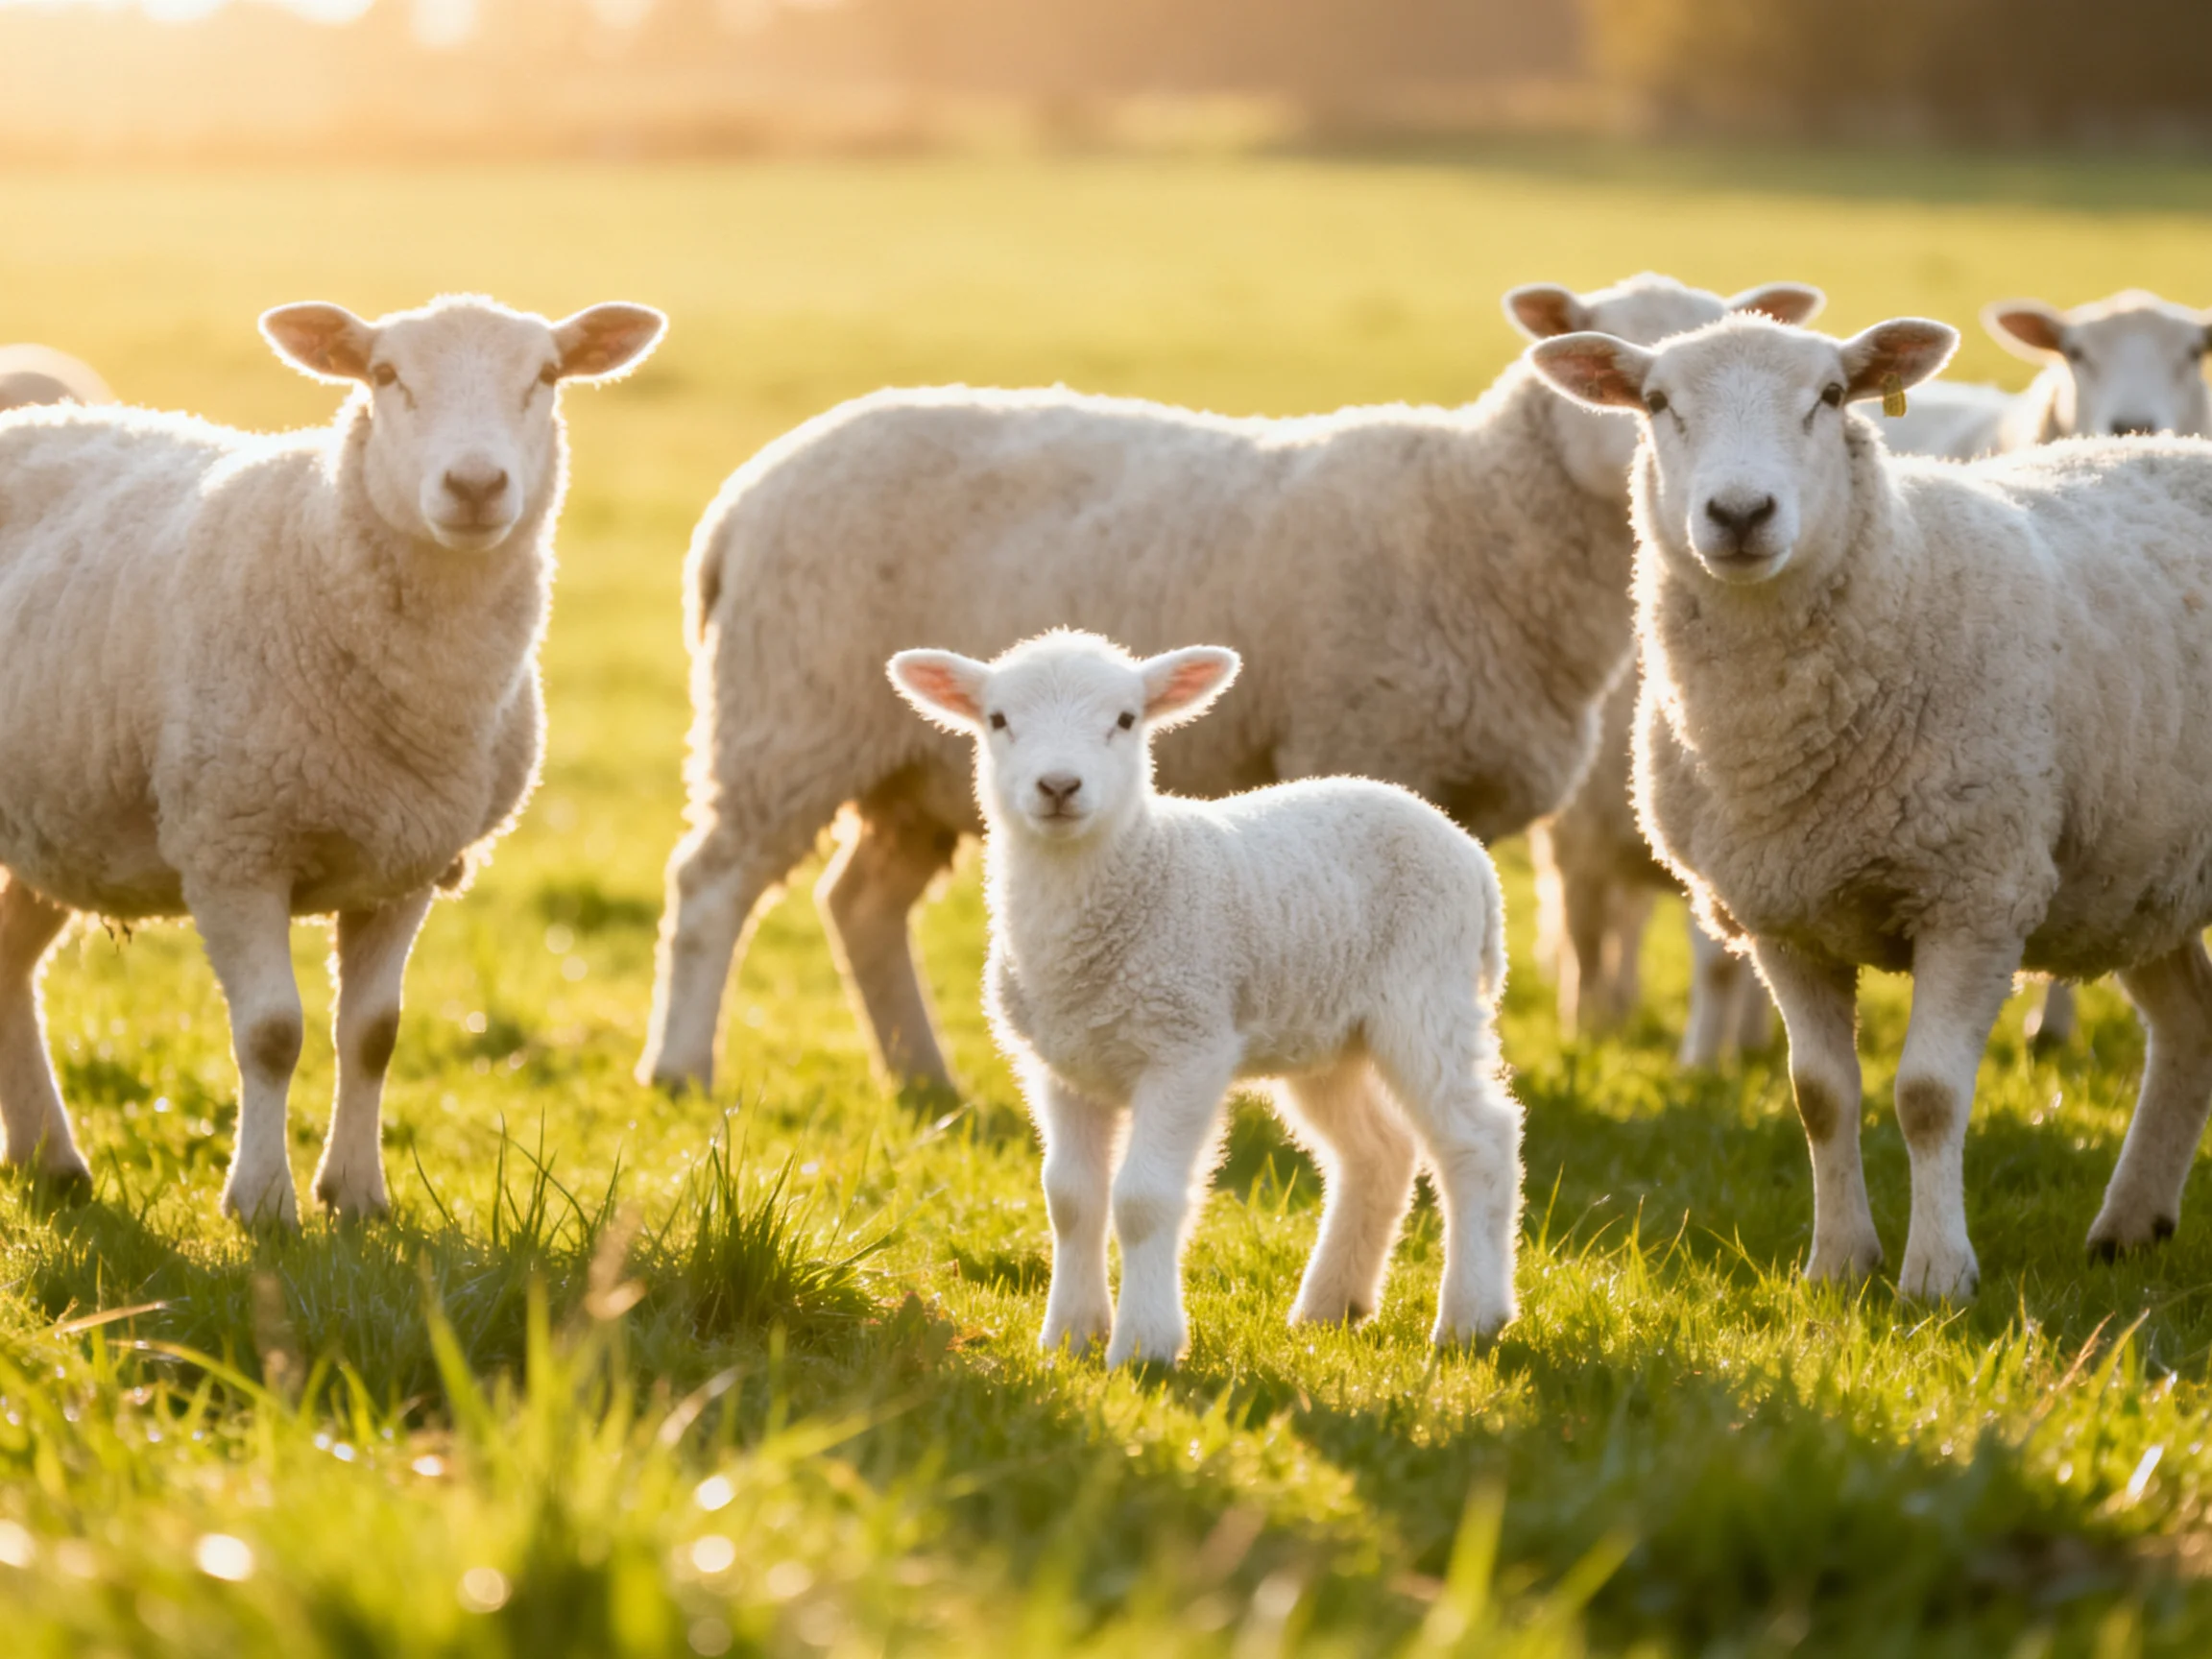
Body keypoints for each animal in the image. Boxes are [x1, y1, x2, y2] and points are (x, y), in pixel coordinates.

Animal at [0, 293, 665, 1227]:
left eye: (546, 375)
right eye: (384, 375)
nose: (474, 486)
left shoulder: (407, 859)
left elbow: (374, 1035)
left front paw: (356, 1193)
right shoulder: (232, 845)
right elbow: (273, 1034)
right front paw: (262, 1202)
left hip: (57, 822)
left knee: (9, 964)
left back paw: (49, 1158)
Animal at [886, 629, 1521, 1363]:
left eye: (1126, 719)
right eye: (997, 720)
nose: (1059, 786)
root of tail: (1466, 849)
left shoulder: (1187, 1047)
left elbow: (1143, 1199)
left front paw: (1143, 1345)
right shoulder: (1062, 1066)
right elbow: (1069, 1198)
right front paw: (1070, 1336)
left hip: (1426, 995)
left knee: (1479, 1140)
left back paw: (1471, 1318)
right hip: (1327, 1031)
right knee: (1378, 1152)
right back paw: (1330, 1307)